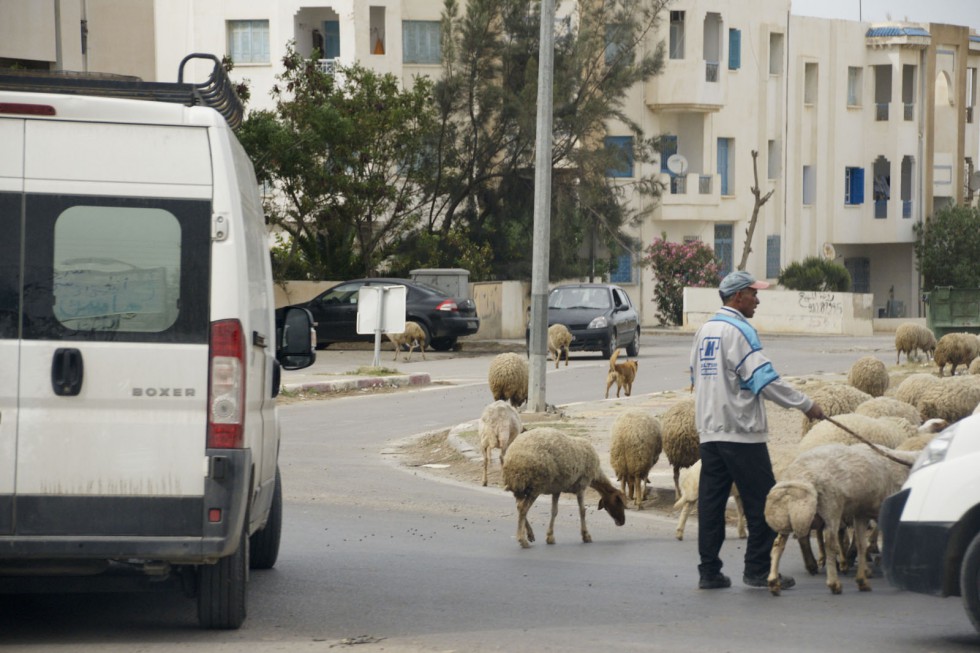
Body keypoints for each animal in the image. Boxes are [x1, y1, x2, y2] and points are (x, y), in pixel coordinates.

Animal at [764, 444, 920, 596]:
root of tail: (798, 475)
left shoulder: (861, 513)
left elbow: (861, 544)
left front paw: (862, 579)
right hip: (831, 508)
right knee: (829, 544)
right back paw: (834, 583)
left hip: (789, 514)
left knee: (778, 544)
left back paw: (774, 582)